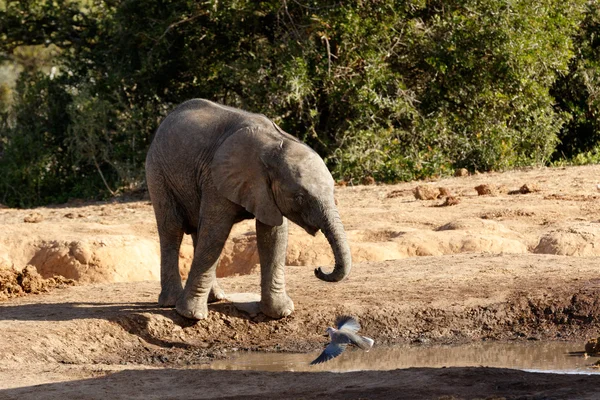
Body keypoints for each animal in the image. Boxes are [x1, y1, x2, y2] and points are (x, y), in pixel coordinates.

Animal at [145, 98, 352, 320]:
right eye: (299, 197)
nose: (319, 269)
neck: (275, 144)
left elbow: (274, 236)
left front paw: (281, 313)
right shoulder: (216, 178)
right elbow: (215, 233)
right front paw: (192, 316)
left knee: (197, 230)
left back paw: (216, 298)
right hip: (158, 172)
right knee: (172, 229)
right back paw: (171, 302)